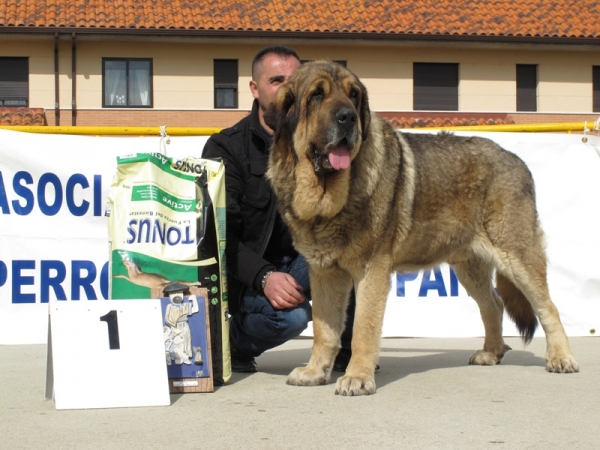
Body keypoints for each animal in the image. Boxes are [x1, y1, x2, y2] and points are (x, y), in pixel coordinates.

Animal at [264, 60, 576, 398]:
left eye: (353, 96)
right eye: (317, 95)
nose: (348, 117)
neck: (329, 197)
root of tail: (518, 161)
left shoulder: (371, 270)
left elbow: (362, 328)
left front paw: (357, 377)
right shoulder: (325, 272)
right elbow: (325, 329)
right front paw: (314, 371)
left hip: (517, 255)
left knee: (547, 307)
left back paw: (561, 358)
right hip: (469, 266)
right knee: (493, 303)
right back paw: (491, 352)